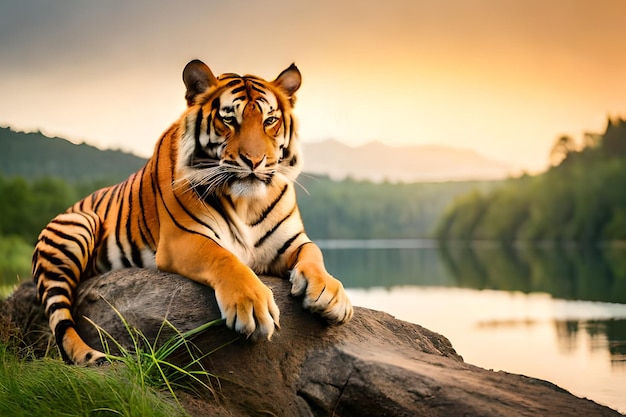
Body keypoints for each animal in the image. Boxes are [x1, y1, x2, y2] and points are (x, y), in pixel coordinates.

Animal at [31, 58, 352, 364]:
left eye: (270, 120)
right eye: (229, 120)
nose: (254, 161)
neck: (247, 203)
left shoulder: (289, 243)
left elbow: (314, 252)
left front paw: (331, 295)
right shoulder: (182, 239)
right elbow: (224, 257)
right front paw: (252, 305)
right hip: (78, 227)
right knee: (60, 319)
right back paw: (91, 357)